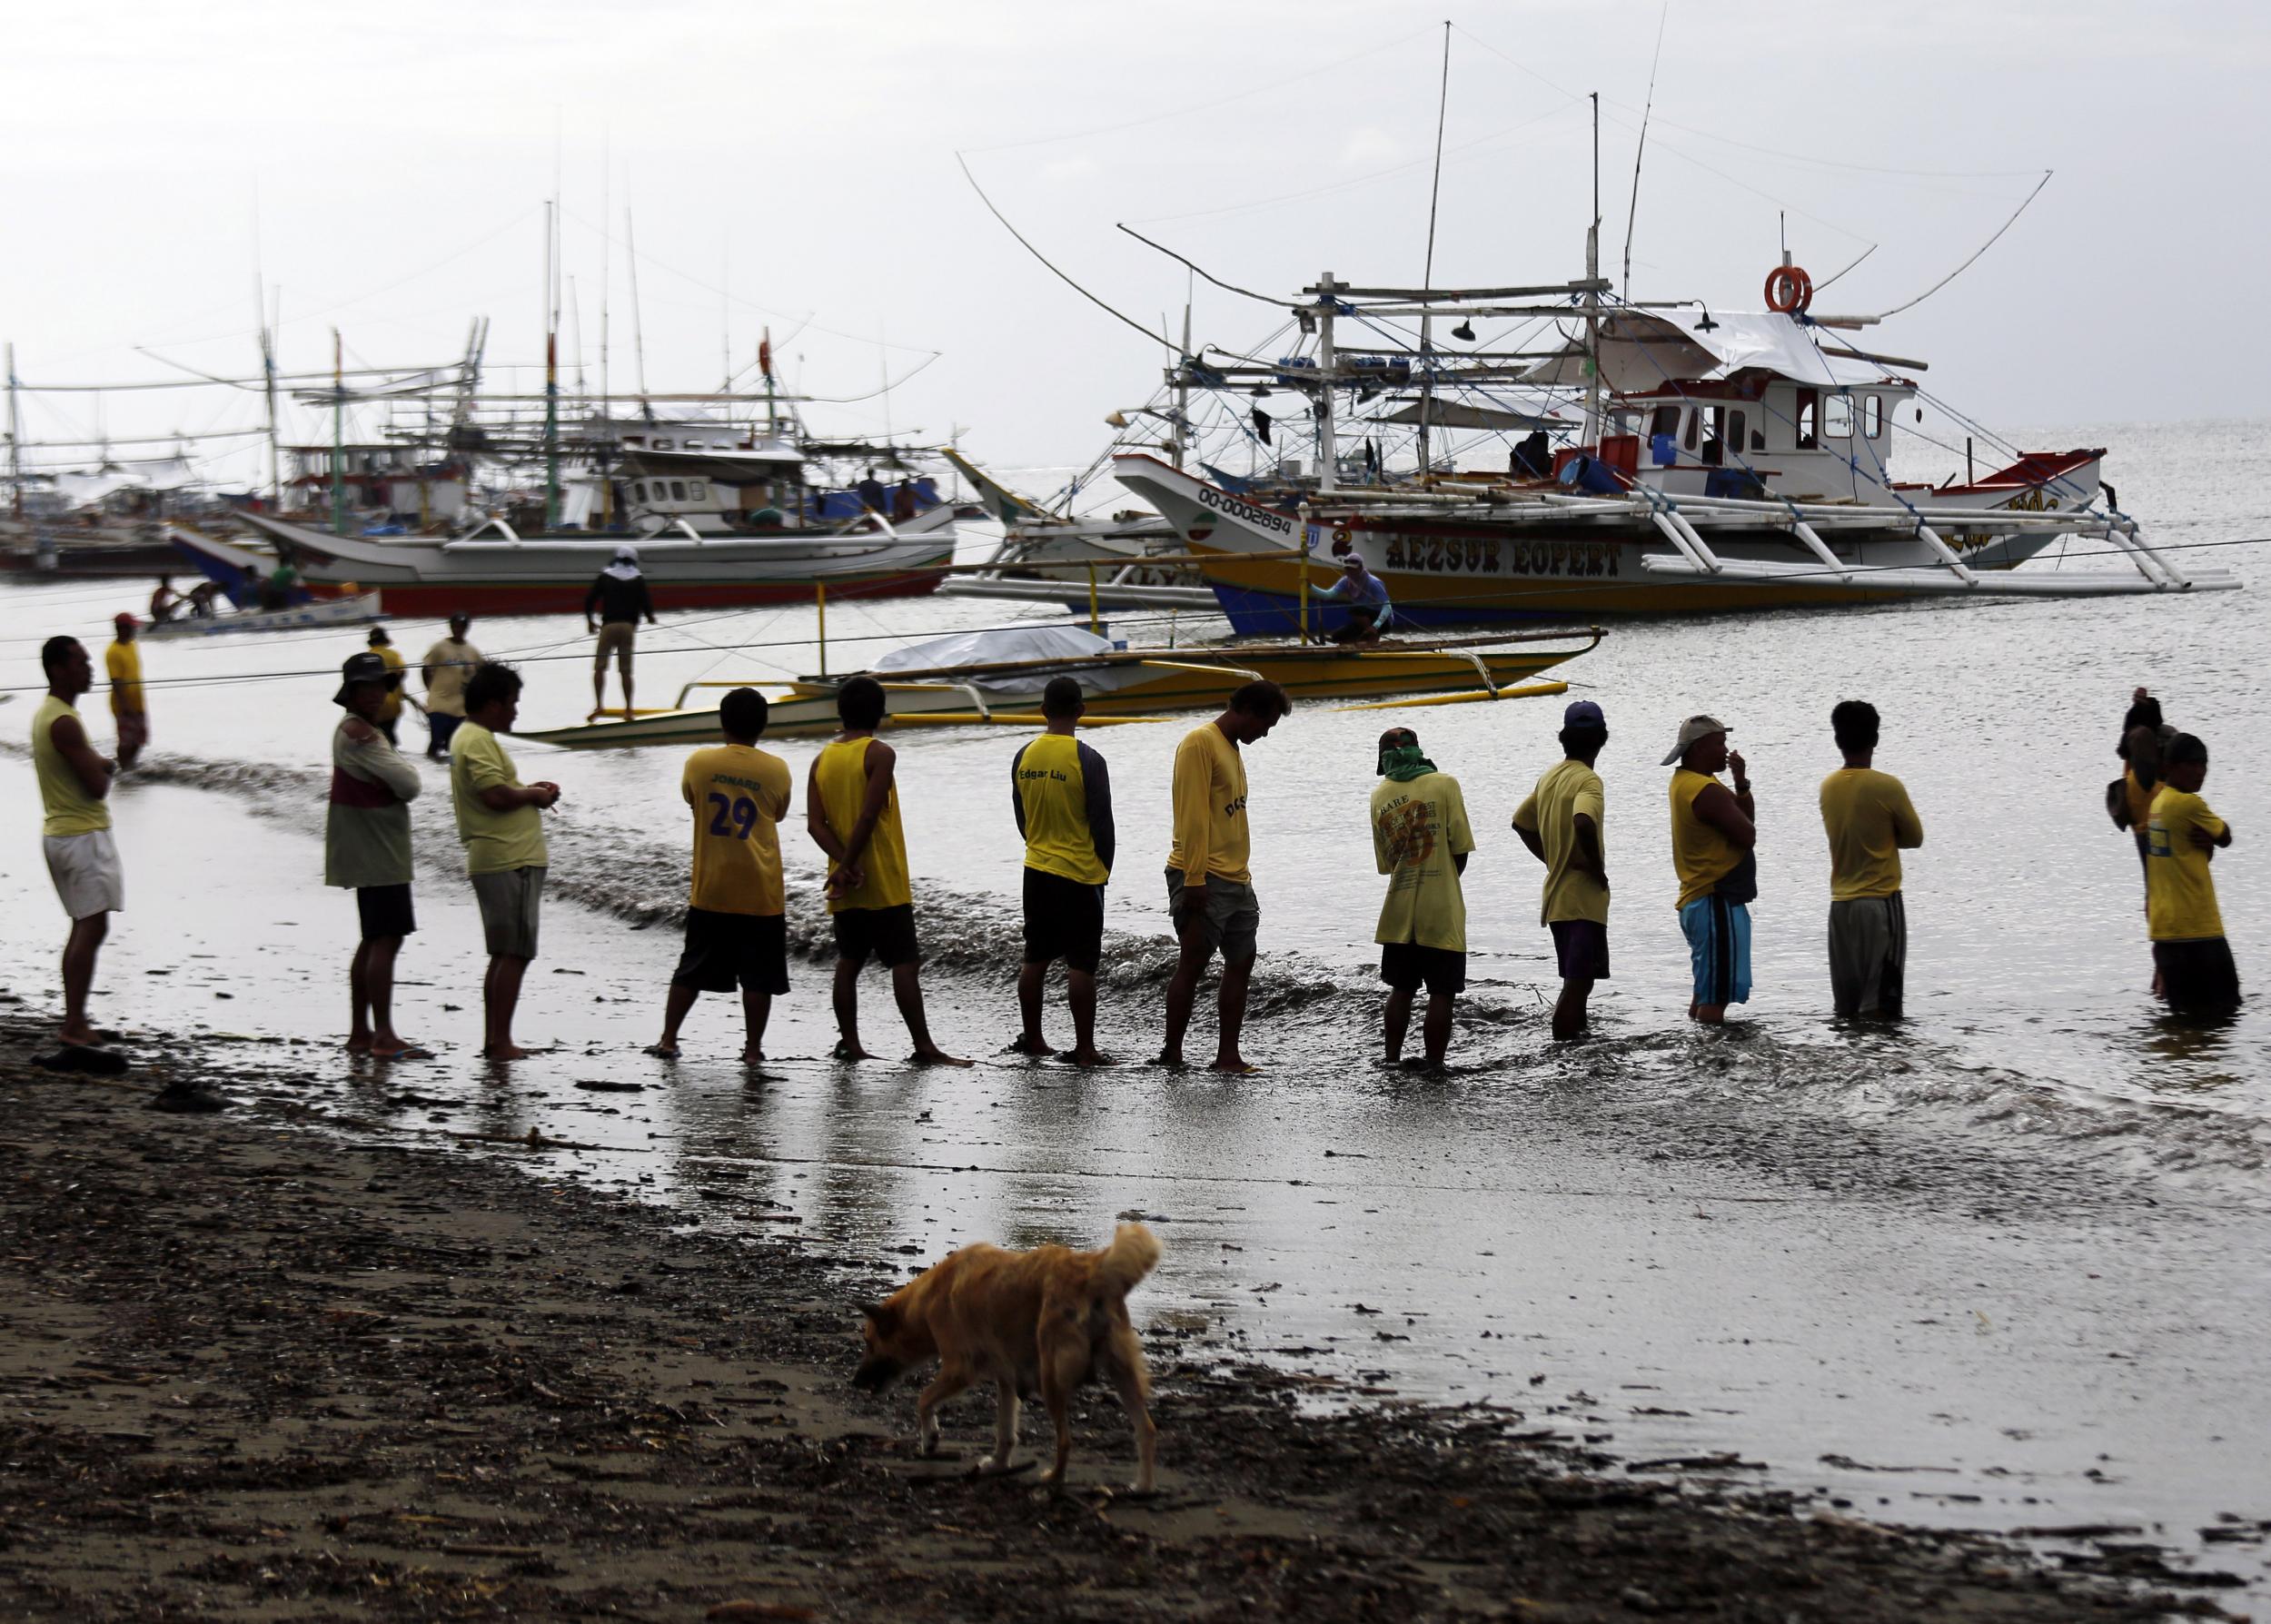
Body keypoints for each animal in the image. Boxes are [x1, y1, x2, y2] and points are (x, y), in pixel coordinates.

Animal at [854, 1226, 1163, 1490]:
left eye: (869, 1343)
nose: (855, 1382)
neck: (927, 1298)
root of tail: (1092, 1272)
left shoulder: (959, 1369)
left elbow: (923, 1399)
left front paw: (930, 1439)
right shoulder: (1007, 1379)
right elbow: (1005, 1430)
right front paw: (999, 1465)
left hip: (1051, 1376)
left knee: (1065, 1440)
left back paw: (1054, 1477)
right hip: (1122, 1373)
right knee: (1146, 1429)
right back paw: (1143, 1486)